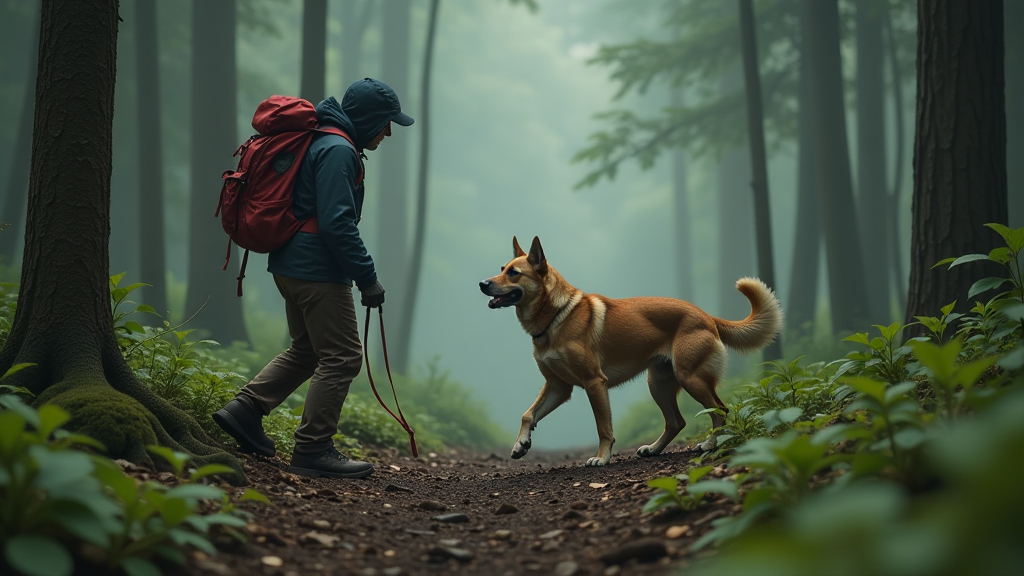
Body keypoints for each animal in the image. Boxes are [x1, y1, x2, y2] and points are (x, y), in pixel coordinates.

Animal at [479, 235, 782, 463]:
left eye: (514, 273)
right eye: (502, 268)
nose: (482, 283)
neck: (556, 316)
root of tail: (706, 315)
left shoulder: (594, 383)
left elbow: (603, 428)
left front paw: (601, 458)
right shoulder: (558, 386)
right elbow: (528, 414)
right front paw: (521, 444)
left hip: (691, 378)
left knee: (721, 410)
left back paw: (710, 444)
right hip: (658, 384)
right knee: (677, 422)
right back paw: (654, 449)